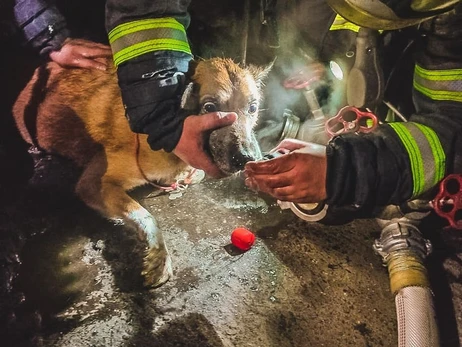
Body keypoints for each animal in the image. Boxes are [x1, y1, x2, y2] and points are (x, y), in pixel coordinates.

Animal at [12, 47, 270, 290]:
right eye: (209, 107)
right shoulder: (93, 183)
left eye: (253, 108)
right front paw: (159, 257)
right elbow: (146, 216)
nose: (246, 159)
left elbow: (193, 175)